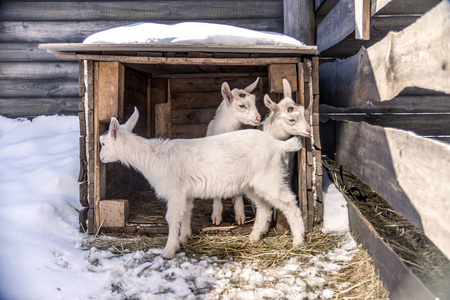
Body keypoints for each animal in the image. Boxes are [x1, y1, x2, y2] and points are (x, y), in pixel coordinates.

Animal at [100, 108, 304, 260]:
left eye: (103, 143)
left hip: (269, 177)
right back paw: (254, 237)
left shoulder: (175, 192)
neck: (154, 158)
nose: (101, 158)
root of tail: (277, 145)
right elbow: (186, 213)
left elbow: (172, 218)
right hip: (252, 183)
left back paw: (298, 241)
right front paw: (183, 238)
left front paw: (168, 251)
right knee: (263, 206)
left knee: (289, 204)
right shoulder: (185, 193)